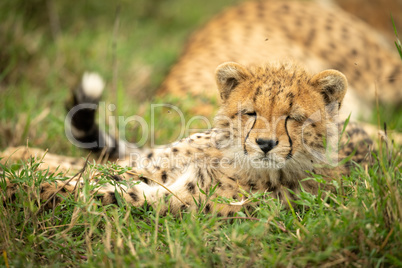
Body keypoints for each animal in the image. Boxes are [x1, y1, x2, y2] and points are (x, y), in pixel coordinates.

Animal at [3, 61, 374, 215]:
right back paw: (15, 154)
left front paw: (23, 191)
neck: (233, 161)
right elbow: (91, 174)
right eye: (251, 112)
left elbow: (94, 192)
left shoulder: (178, 199)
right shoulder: (154, 169)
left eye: (292, 118)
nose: (265, 145)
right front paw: (19, 178)